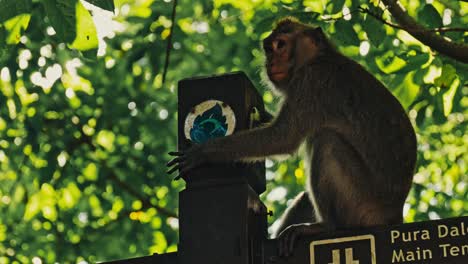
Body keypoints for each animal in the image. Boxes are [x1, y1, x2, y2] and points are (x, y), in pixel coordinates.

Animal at [166, 18, 414, 258]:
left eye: (281, 45)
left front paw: (205, 152)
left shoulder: (311, 81)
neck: (319, 57)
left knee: (327, 141)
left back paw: (326, 226)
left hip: (362, 205)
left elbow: (283, 137)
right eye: (269, 49)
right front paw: (261, 116)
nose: (270, 63)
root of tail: (394, 215)